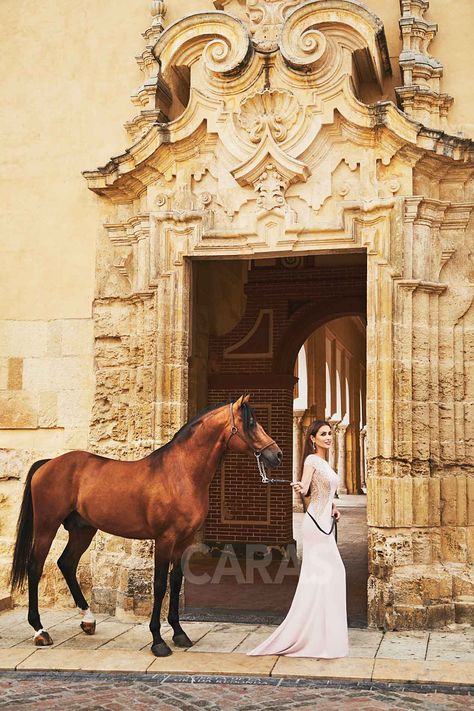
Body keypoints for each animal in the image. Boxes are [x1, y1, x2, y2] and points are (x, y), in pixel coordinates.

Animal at [9, 394, 282, 656]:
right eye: (250, 423)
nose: (277, 454)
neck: (181, 474)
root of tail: (48, 463)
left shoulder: (184, 541)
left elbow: (176, 581)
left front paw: (179, 633)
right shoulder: (164, 539)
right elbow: (159, 585)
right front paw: (158, 641)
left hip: (83, 530)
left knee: (66, 563)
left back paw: (88, 620)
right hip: (47, 526)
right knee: (35, 567)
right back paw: (40, 630)